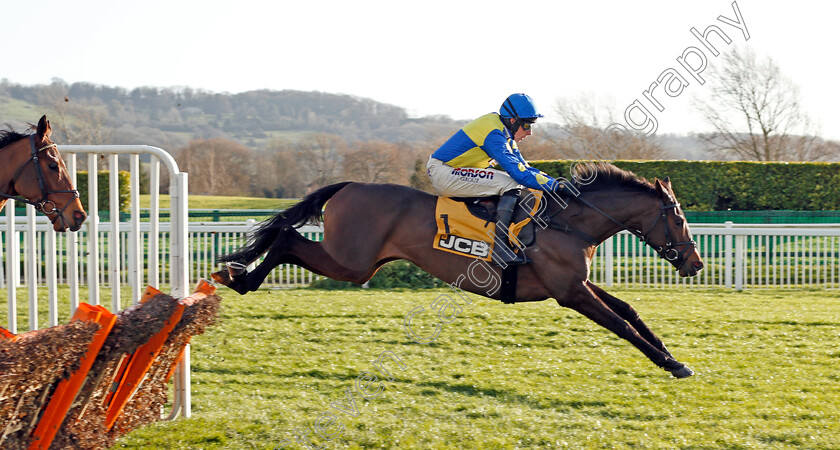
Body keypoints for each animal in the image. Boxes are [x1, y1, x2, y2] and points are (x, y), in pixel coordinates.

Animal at [213, 163, 704, 378]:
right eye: (679, 218)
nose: (695, 263)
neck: (568, 222)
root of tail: (350, 184)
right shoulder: (570, 293)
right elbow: (621, 324)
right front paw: (672, 363)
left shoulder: (577, 284)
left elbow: (629, 311)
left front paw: (670, 353)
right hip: (352, 261)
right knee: (285, 239)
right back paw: (239, 277)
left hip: (355, 261)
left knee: (286, 239)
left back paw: (237, 275)